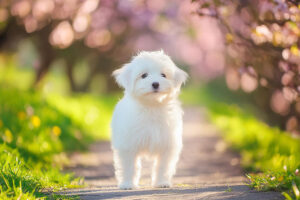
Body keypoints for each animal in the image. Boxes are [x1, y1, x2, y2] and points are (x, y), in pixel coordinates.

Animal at [110, 50, 188, 189]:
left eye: (163, 75)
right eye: (144, 75)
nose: (155, 83)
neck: (152, 106)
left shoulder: (167, 145)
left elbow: (163, 166)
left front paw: (162, 182)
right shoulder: (128, 145)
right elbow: (129, 166)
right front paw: (127, 184)